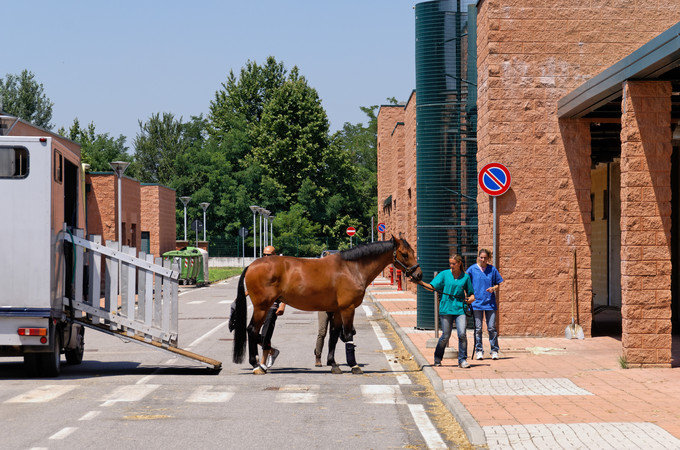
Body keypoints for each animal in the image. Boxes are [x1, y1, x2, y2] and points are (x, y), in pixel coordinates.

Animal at [231, 236, 420, 372]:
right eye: (404, 254)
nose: (419, 274)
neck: (351, 269)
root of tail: (252, 265)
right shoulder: (347, 309)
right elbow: (348, 335)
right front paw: (354, 365)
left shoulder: (336, 310)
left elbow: (334, 336)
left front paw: (333, 363)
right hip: (262, 308)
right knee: (252, 330)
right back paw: (256, 364)